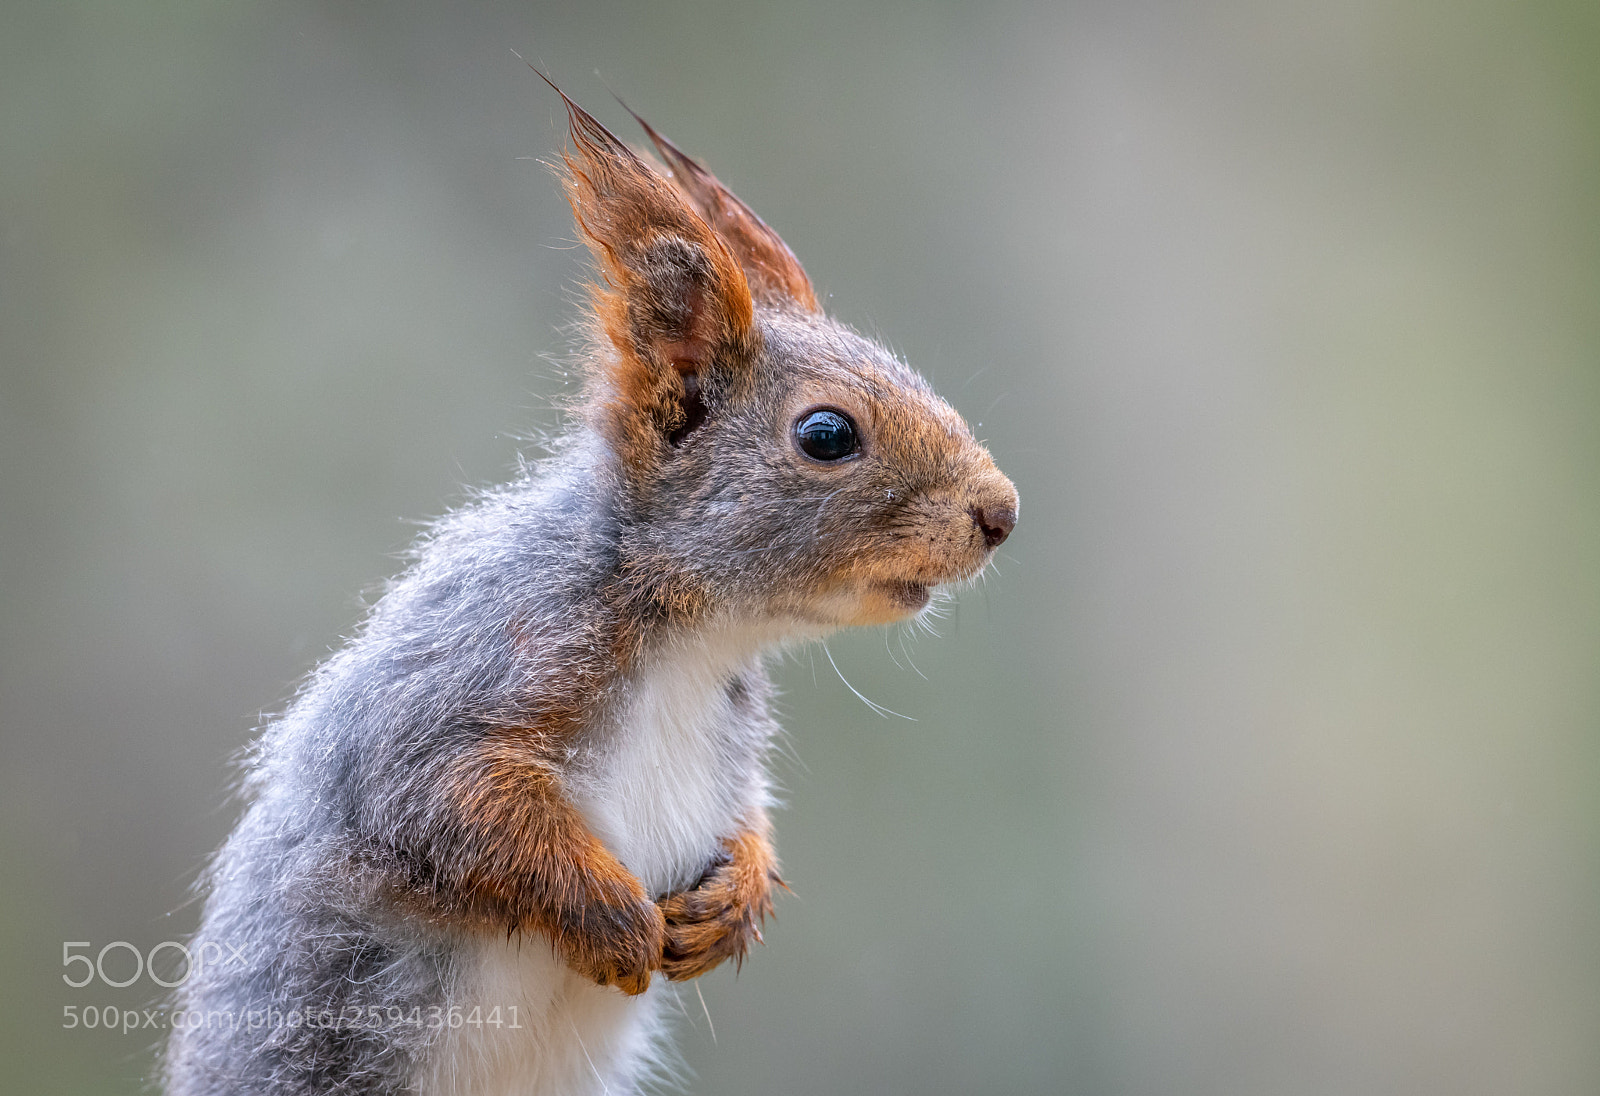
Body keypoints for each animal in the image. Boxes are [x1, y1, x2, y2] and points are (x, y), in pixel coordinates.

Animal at [162, 81, 1018, 1096]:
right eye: (826, 435)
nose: (1002, 512)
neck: (693, 634)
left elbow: (747, 816)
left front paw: (738, 897)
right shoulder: (475, 663)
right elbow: (449, 797)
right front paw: (611, 919)